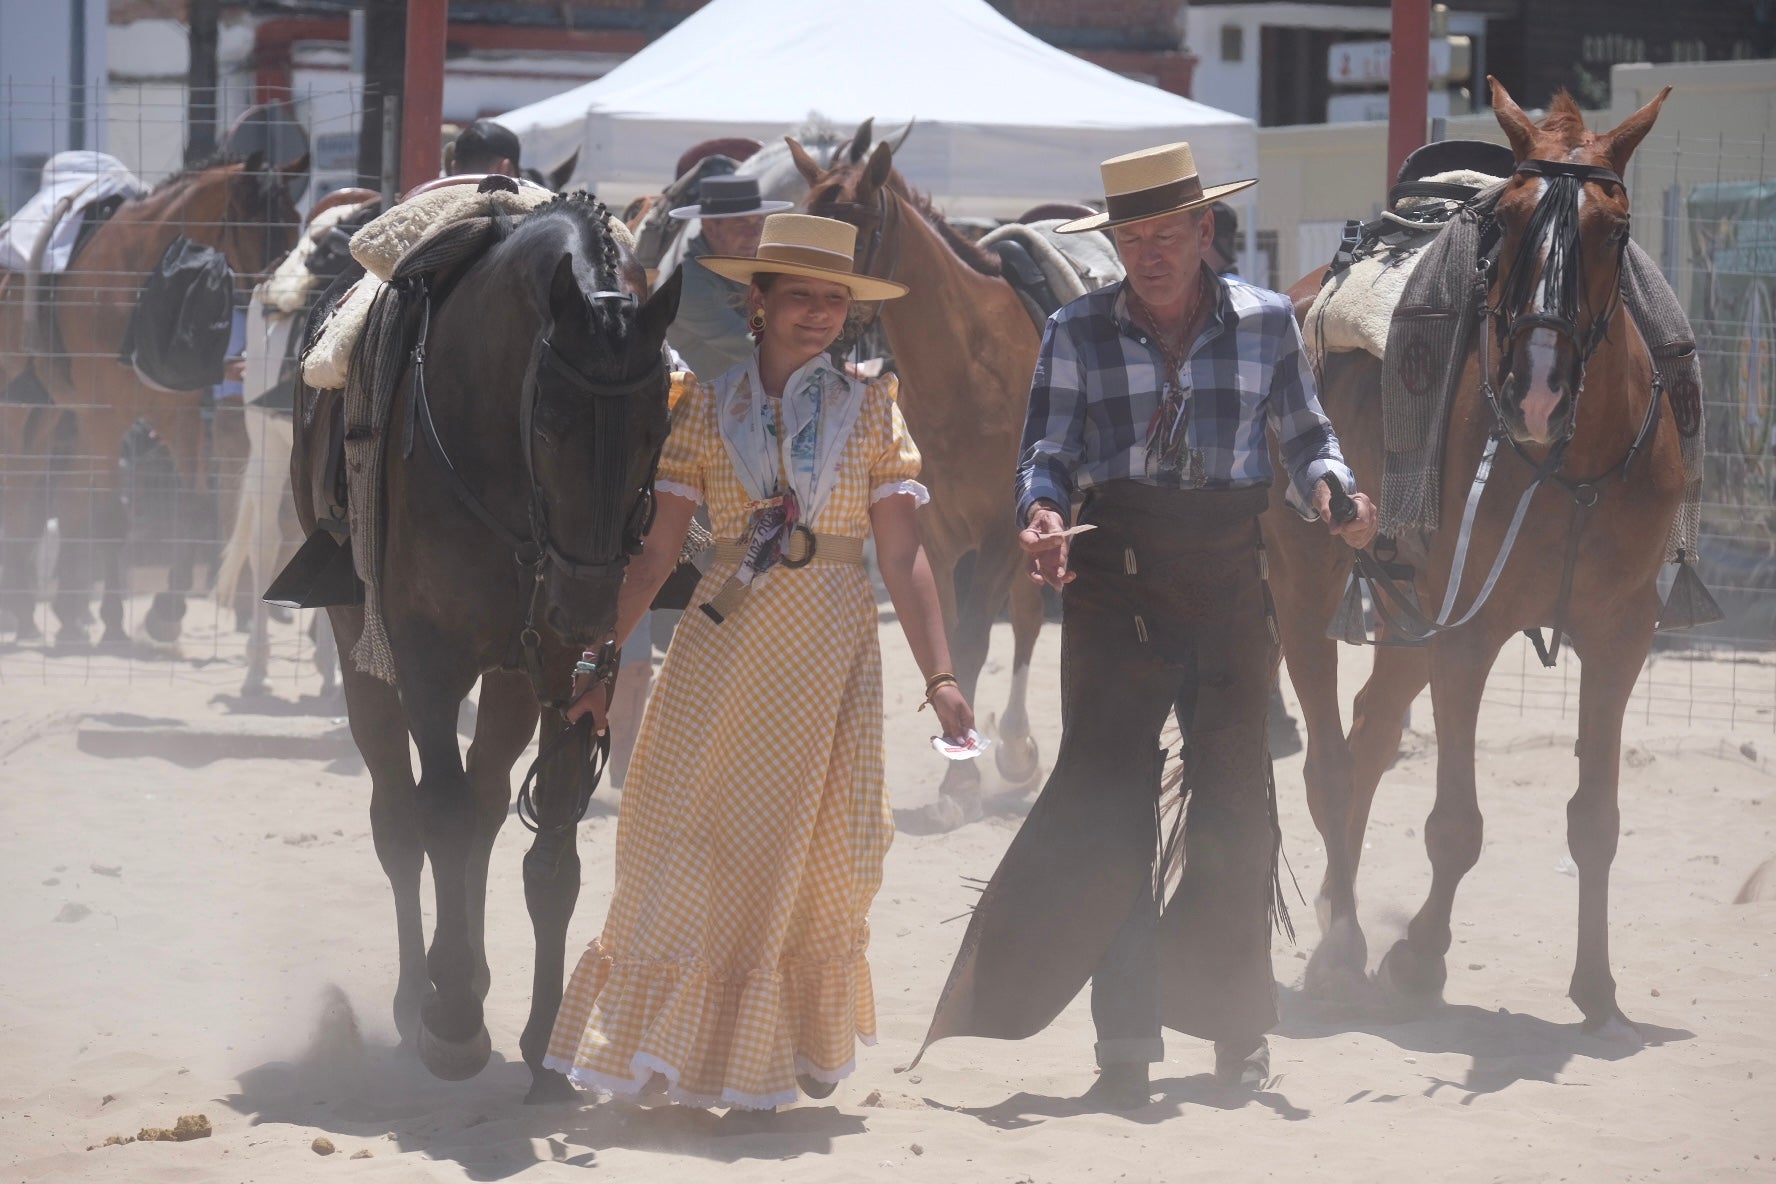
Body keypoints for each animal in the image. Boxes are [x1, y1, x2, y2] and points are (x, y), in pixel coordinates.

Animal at [0, 155, 303, 649]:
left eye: (295, 222)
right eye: (253, 222)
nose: (278, 303)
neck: (147, 282)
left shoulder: (177, 417)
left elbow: (195, 509)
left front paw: (165, 611)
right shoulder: (106, 420)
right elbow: (110, 517)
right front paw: (113, 621)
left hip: (54, 412)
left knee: (49, 492)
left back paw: (47, 614)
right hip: (21, 409)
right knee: (22, 490)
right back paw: (26, 609)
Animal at [291, 194, 678, 1100]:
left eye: (657, 424)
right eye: (553, 421)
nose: (585, 602)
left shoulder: (563, 670)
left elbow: (551, 844)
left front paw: (547, 1041)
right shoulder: (426, 662)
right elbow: (437, 816)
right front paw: (453, 1018)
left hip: (510, 677)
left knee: (489, 802)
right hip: (362, 652)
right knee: (403, 817)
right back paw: (419, 999)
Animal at [795, 132, 1051, 816]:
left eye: (856, 234)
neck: (969, 366)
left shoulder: (999, 534)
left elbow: (975, 637)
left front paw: (964, 776)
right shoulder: (932, 536)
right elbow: (946, 636)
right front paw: (960, 776)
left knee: (1026, 619)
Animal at [1264, 78, 1676, 1036]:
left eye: (1617, 228)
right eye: (1508, 223)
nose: (1538, 390)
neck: (1571, 462)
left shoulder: (1623, 635)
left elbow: (1595, 821)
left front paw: (1597, 989)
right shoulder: (1467, 632)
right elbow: (1455, 826)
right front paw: (1418, 959)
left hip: (1405, 607)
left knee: (1371, 735)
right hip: (1305, 585)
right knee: (1332, 765)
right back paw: (1344, 949)